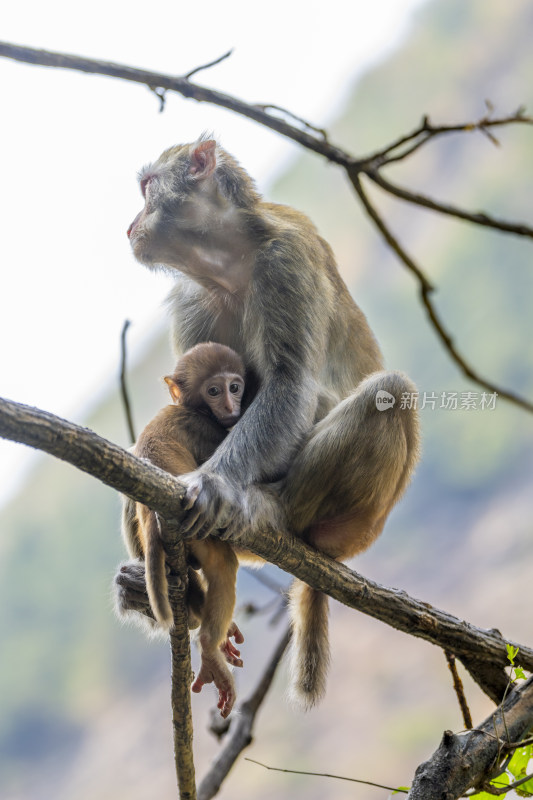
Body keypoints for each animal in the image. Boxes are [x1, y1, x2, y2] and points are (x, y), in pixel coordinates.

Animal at [122, 340, 249, 716]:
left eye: (234, 387)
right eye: (214, 390)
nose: (231, 406)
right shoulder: (210, 432)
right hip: (193, 530)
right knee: (223, 563)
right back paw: (209, 646)